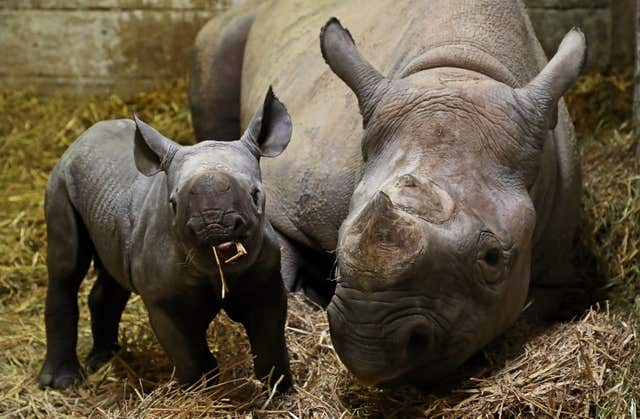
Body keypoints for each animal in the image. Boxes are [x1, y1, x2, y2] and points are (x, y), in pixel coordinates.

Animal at [41, 87, 296, 392]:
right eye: (173, 204)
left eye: (255, 194)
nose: (214, 227)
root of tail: (81, 138)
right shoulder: (163, 301)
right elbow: (188, 353)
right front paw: (199, 391)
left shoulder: (265, 281)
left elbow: (269, 339)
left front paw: (280, 391)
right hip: (60, 182)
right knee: (67, 269)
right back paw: (64, 382)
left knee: (113, 272)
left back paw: (104, 361)